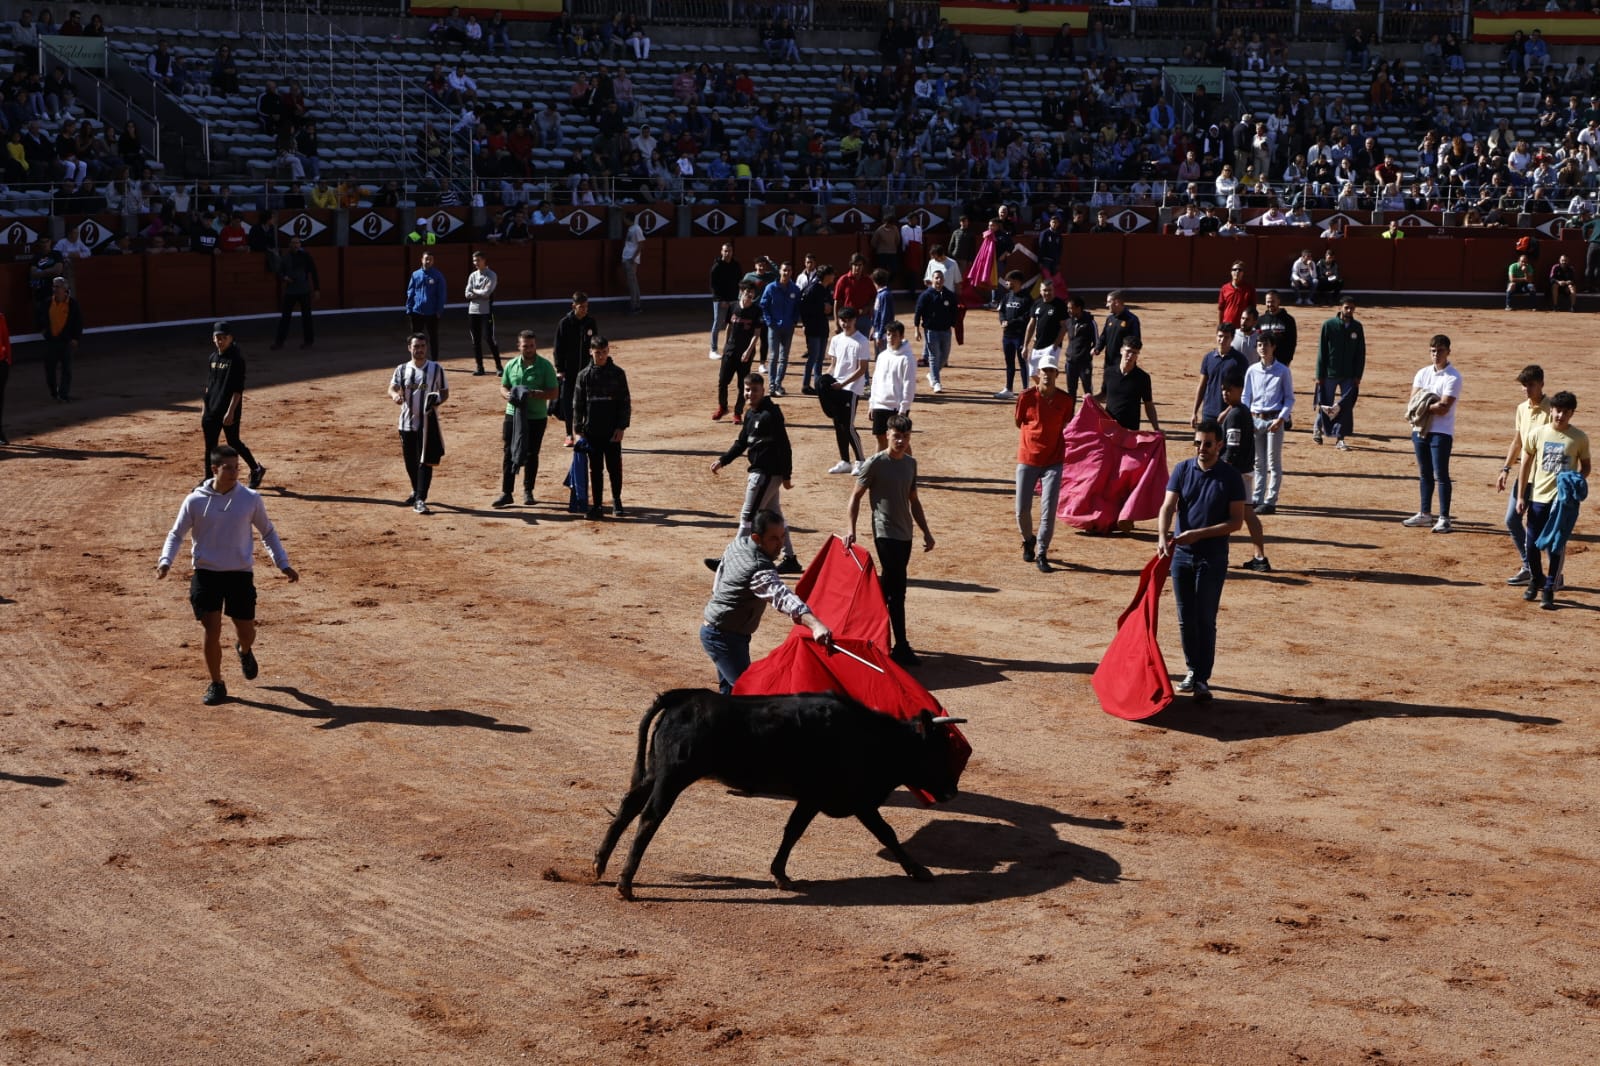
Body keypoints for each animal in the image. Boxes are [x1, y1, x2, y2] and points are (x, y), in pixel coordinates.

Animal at [588, 685, 960, 902]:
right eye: (938, 753)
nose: (951, 792)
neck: (873, 738)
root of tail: (682, 698)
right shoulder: (856, 800)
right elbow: (887, 832)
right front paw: (919, 870)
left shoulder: (811, 798)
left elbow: (792, 831)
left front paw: (781, 875)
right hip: (673, 777)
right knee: (650, 817)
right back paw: (625, 884)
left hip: (654, 772)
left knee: (628, 806)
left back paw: (599, 865)